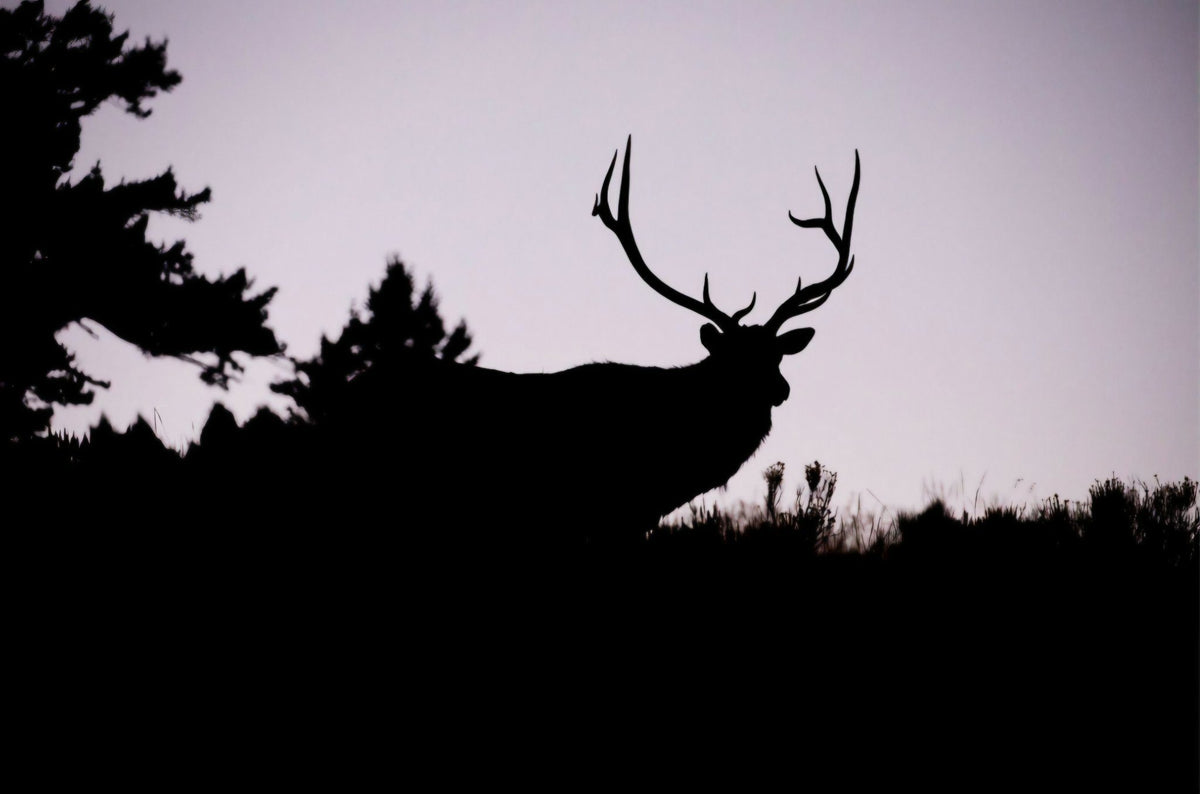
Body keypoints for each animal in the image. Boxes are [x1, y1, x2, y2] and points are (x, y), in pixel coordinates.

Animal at [336, 137, 860, 543]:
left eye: (776, 355)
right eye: (734, 358)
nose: (781, 389)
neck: (673, 464)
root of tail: (351, 391)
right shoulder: (607, 512)